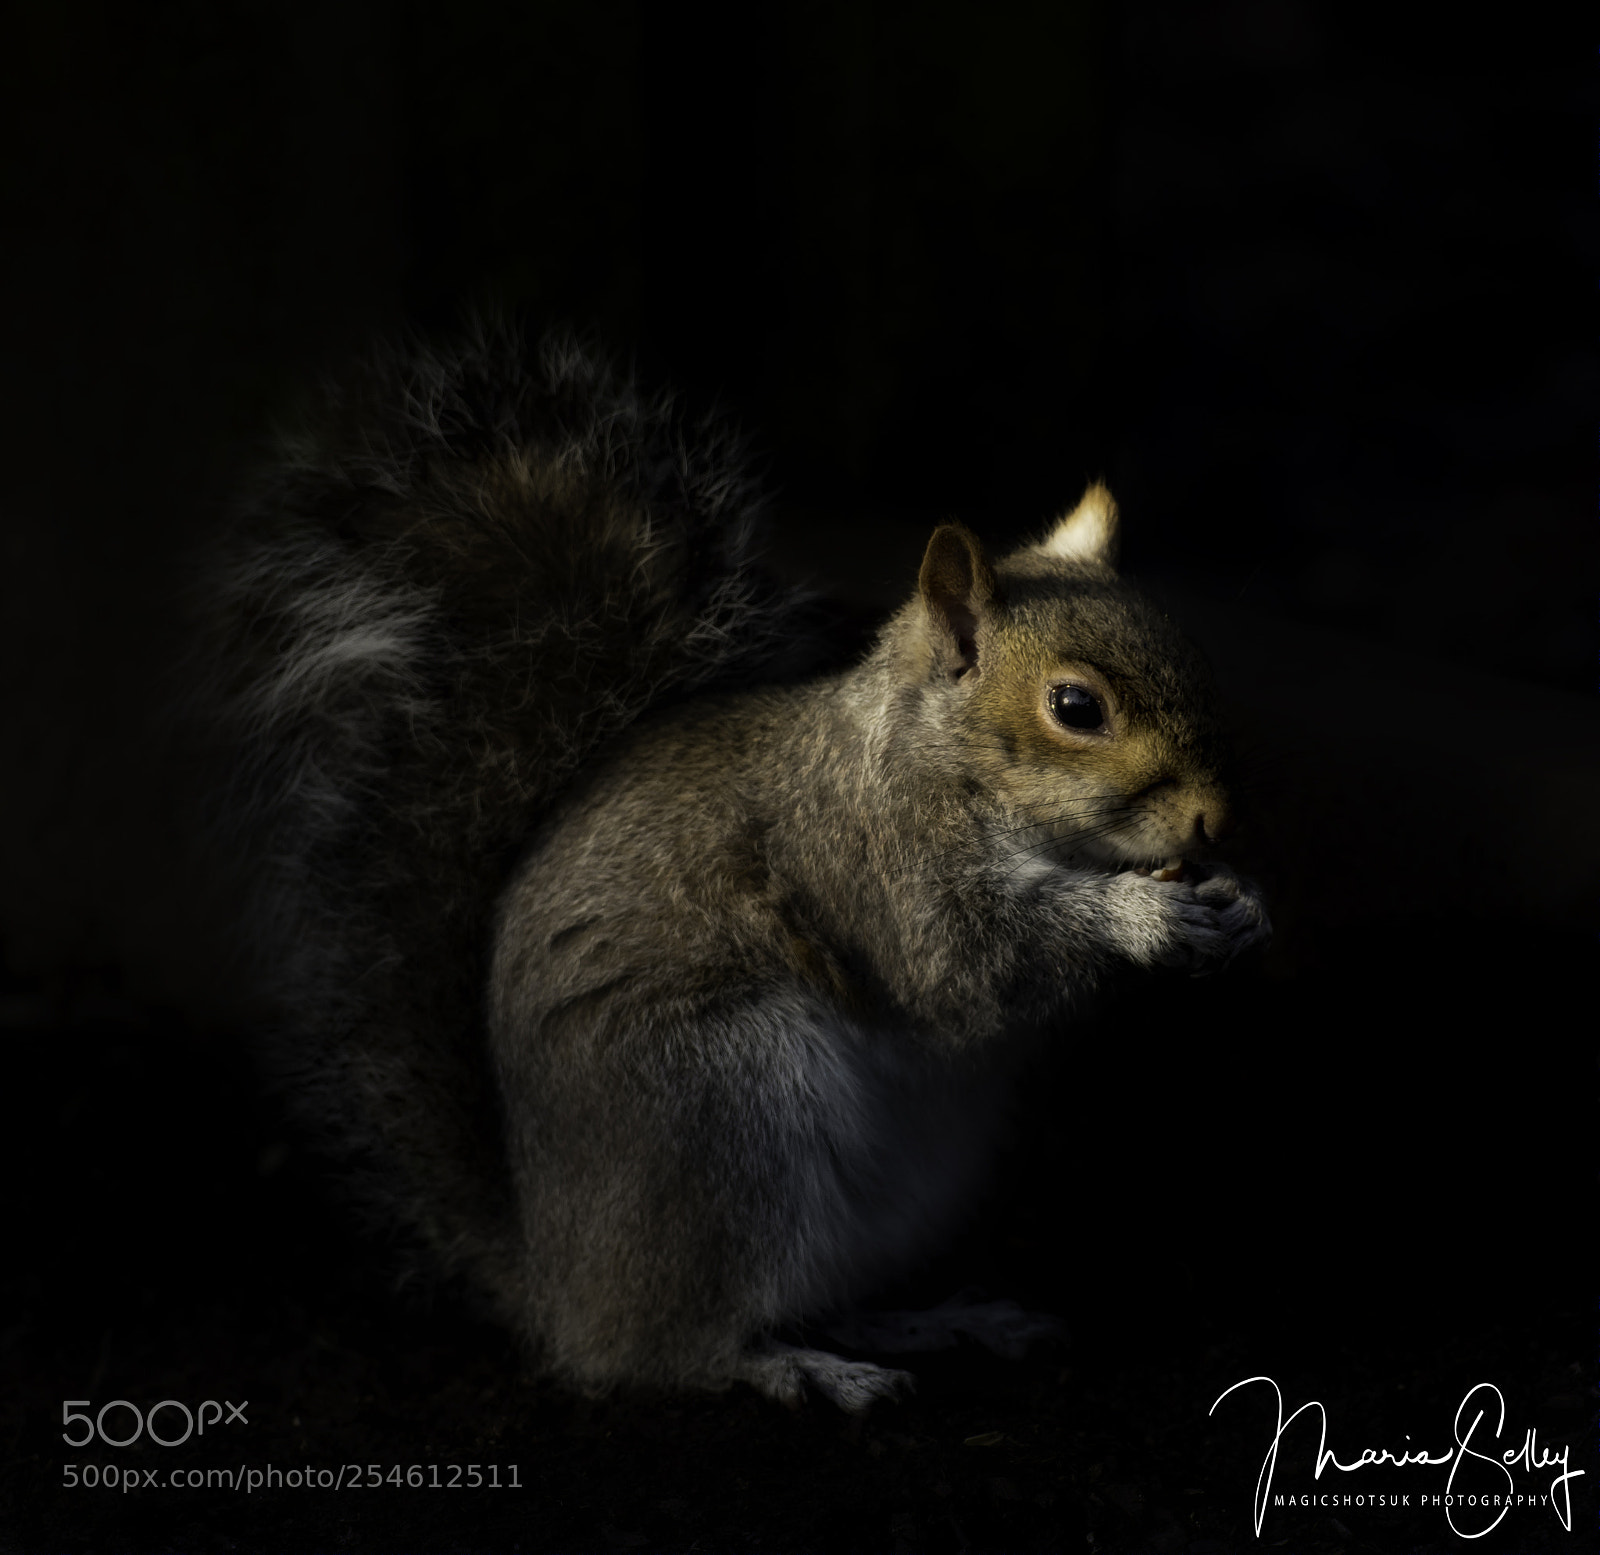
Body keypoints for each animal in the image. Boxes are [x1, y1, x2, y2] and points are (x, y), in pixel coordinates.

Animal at [201, 317, 1269, 1413]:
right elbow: (965, 969)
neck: (938, 767)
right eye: (1075, 707)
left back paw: (933, 1321)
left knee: (813, 1296)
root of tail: (558, 1283)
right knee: (672, 1347)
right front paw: (1138, 919)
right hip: (723, 1117)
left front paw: (1238, 903)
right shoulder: (866, 862)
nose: (1217, 818)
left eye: (1192, 652)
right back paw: (797, 1367)